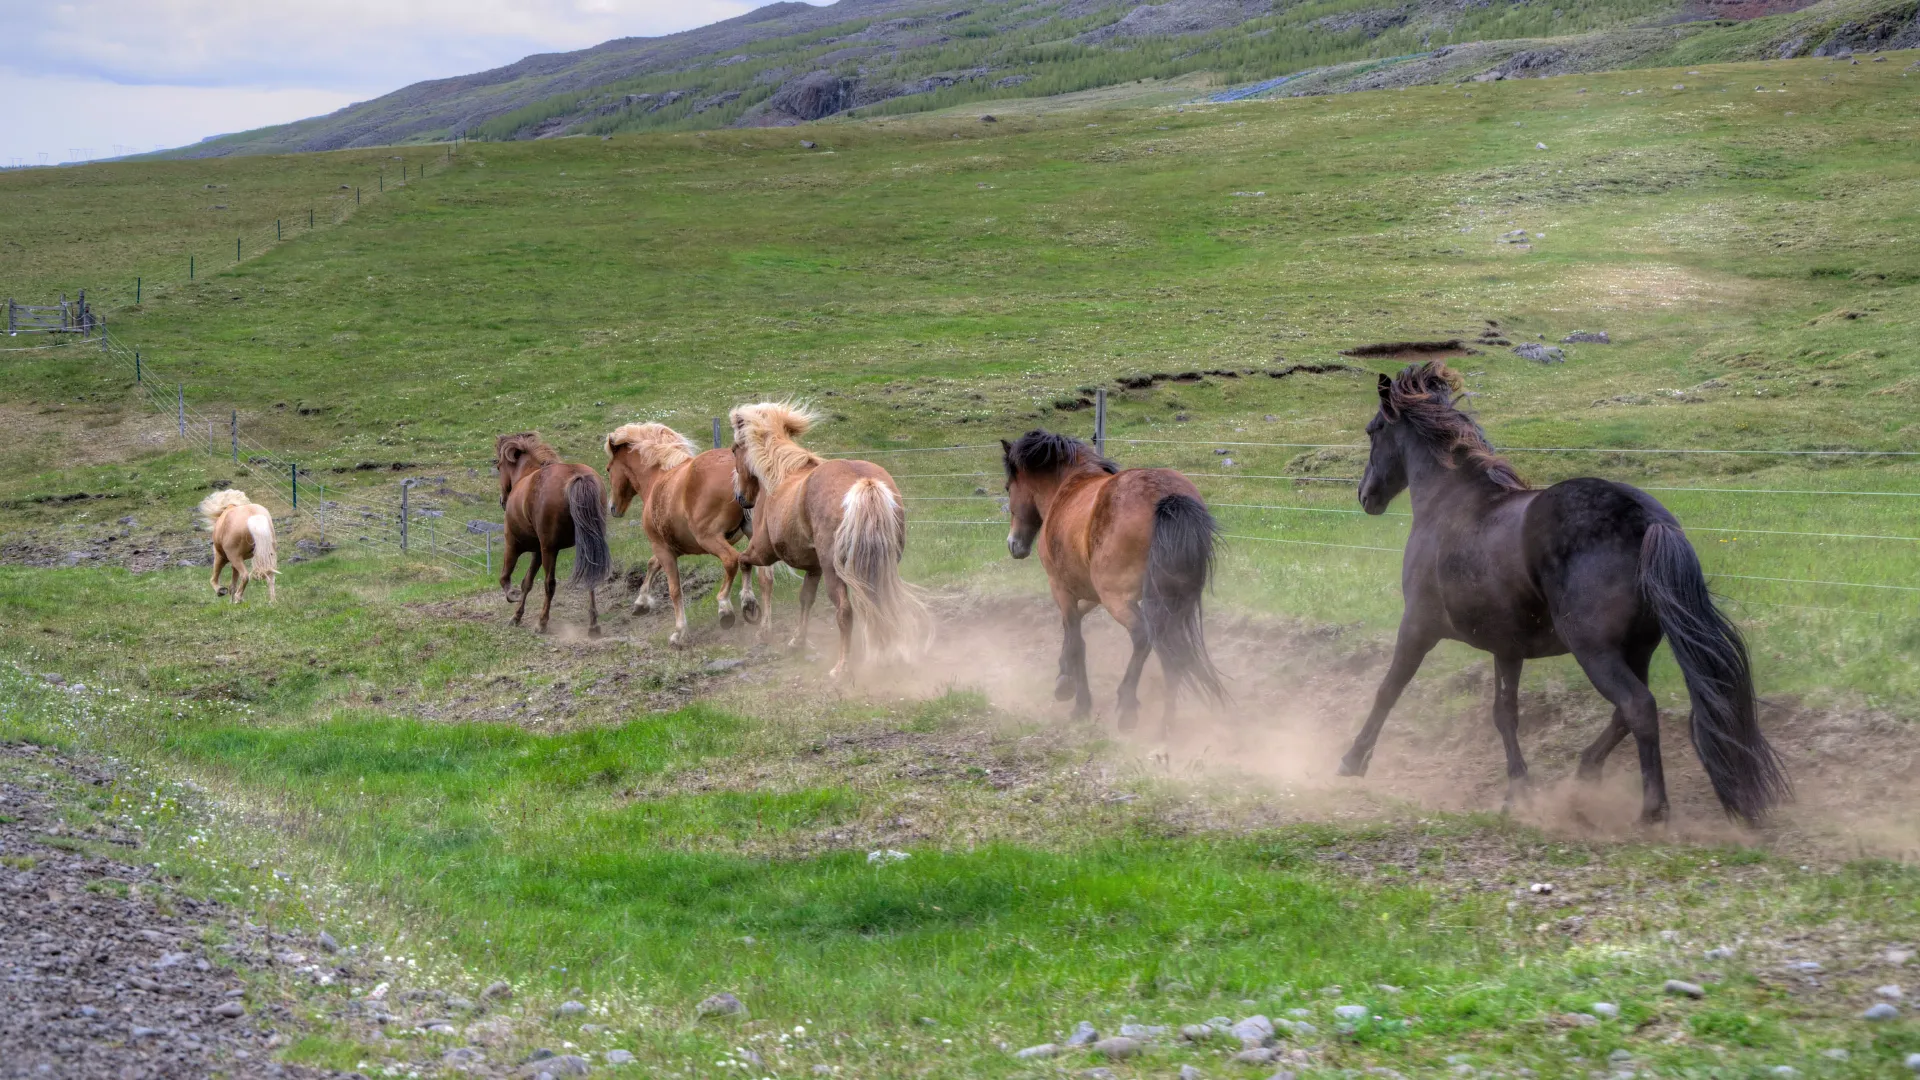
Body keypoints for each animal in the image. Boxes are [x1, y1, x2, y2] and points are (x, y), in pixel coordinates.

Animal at [495, 432, 613, 636]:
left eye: (498, 466)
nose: (502, 500)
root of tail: (577, 476)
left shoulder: (513, 543)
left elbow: (506, 577)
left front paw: (513, 596)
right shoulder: (538, 550)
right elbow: (527, 582)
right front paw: (517, 616)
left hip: (549, 549)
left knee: (549, 584)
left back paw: (542, 622)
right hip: (587, 546)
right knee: (590, 579)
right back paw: (593, 625)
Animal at [605, 422, 771, 646]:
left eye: (608, 469)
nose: (613, 508)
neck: (657, 479)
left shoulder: (662, 548)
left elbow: (674, 589)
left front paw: (679, 632)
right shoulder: (671, 547)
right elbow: (651, 564)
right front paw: (641, 603)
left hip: (710, 538)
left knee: (732, 560)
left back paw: (726, 607)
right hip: (752, 534)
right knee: (761, 574)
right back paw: (755, 613)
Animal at [729, 402, 930, 680]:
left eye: (734, 449)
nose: (741, 498)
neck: (781, 476)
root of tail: (865, 483)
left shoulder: (764, 551)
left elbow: (744, 562)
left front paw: (750, 606)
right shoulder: (814, 567)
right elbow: (805, 599)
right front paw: (797, 641)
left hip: (834, 570)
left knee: (845, 611)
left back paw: (841, 667)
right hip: (880, 567)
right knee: (880, 603)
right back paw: (883, 656)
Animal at [1001, 430, 1225, 734]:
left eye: (1007, 487)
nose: (1014, 544)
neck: (1067, 488)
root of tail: (1168, 497)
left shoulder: (1062, 588)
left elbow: (1077, 641)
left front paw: (1080, 703)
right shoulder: (1090, 592)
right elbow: (1072, 627)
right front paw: (1063, 679)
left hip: (1118, 599)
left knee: (1143, 638)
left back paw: (1128, 706)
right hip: (1169, 603)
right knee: (1173, 653)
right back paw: (1166, 726)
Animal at [1336, 361, 1789, 825]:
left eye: (1373, 431)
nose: (1365, 495)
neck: (1451, 504)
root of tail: (1648, 520)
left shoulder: (1418, 626)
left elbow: (1389, 689)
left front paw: (1352, 761)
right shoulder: (1506, 648)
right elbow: (1505, 714)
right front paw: (1518, 790)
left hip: (1593, 649)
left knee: (1638, 707)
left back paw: (1652, 810)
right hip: (1638, 648)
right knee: (1625, 713)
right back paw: (1585, 774)